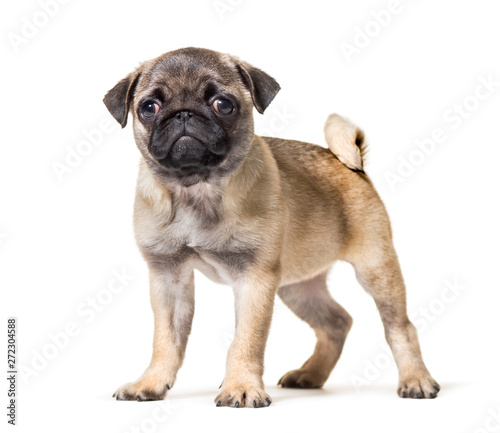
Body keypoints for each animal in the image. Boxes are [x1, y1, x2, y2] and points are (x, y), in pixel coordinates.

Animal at [103, 47, 440, 404]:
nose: (183, 114)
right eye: (148, 108)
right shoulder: (169, 277)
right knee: (337, 322)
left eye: (223, 104)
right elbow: (166, 340)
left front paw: (240, 386)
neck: (197, 188)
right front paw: (150, 382)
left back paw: (416, 379)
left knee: (399, 327)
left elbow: (246, 340)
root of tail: (350, 164)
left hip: (375, 267)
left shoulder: (255, 279)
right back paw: (310, 374)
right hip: (298, 286)